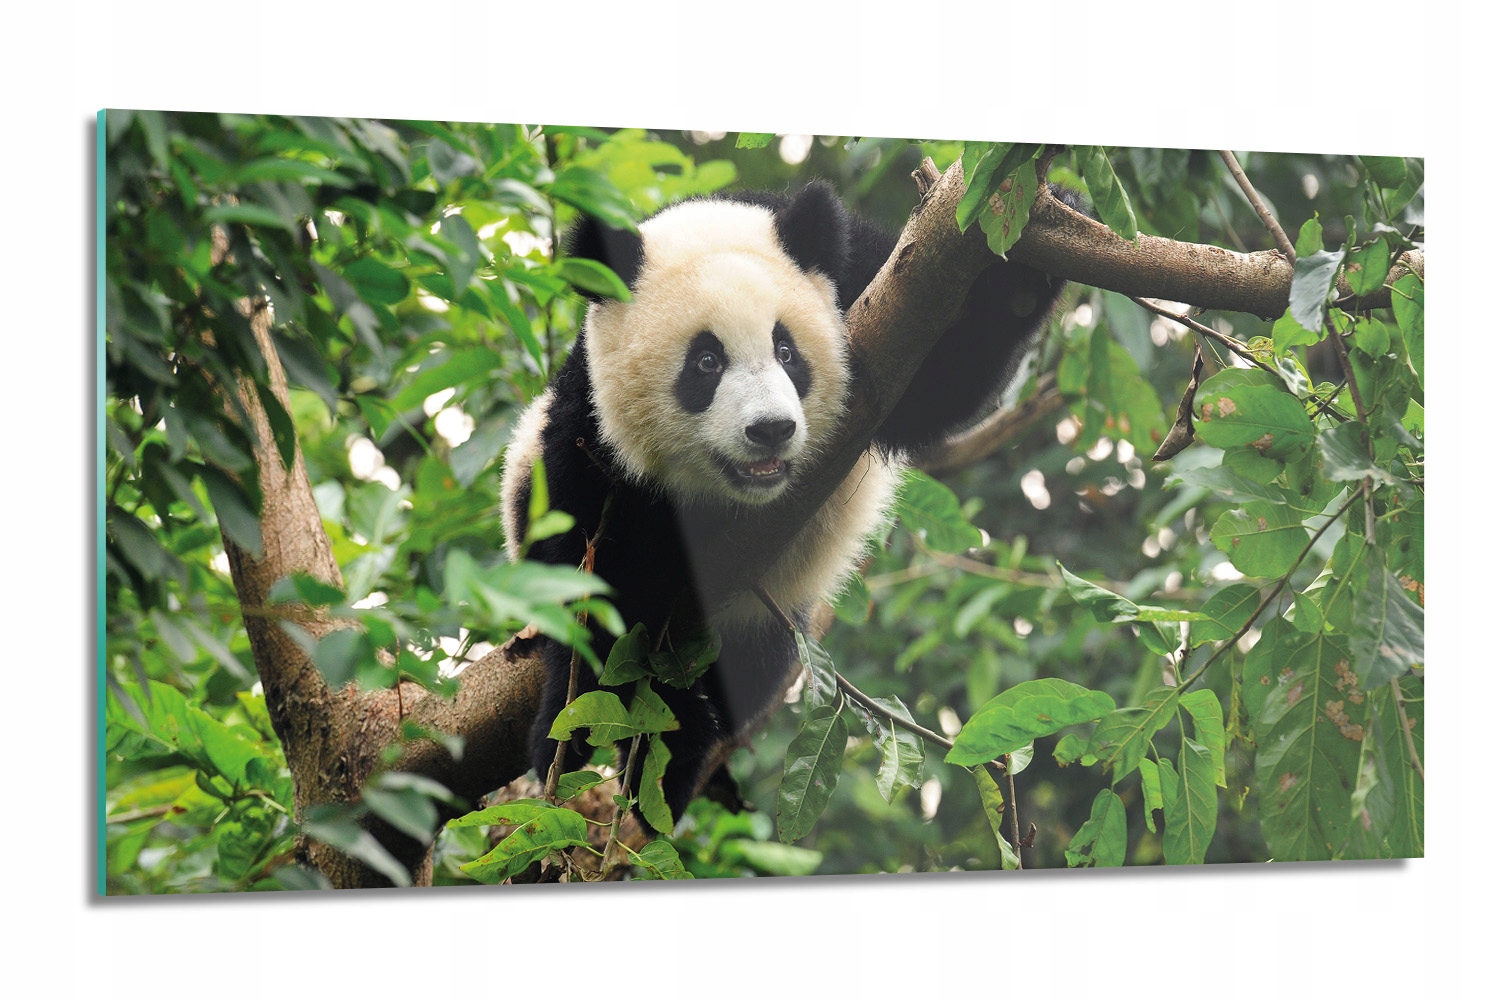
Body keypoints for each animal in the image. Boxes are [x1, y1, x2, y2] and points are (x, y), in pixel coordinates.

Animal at [500, 180, 1070, 822]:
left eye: (787, 351)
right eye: (706, 362)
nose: (770, 429)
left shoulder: (869, 288)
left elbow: (942, 378)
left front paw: (1037, 246)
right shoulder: (589, 432)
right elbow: (595, 580)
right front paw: (584, 730)